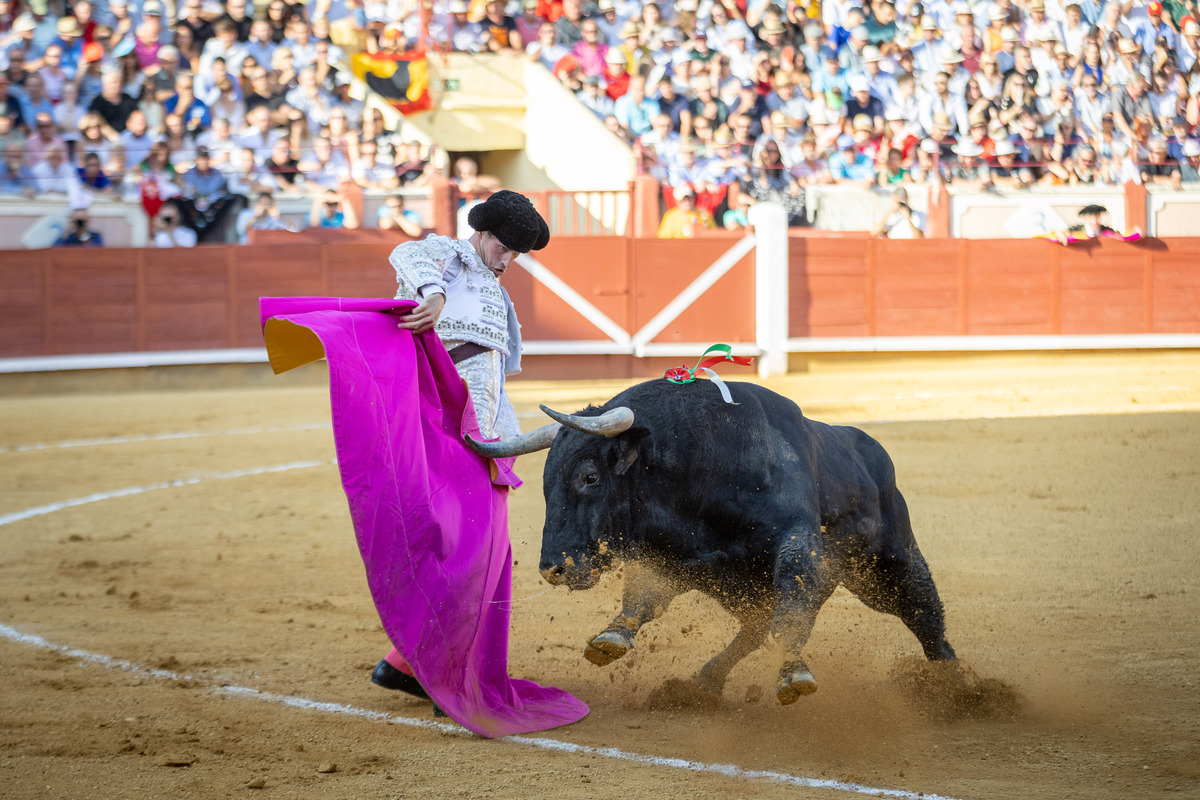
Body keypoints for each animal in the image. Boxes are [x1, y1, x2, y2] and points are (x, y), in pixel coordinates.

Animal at [468, 379, 955, 705]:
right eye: (546, 481)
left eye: (590, 477)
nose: (554, 568)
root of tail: (871, 451)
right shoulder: (670, 559)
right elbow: (642, 600)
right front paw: (610, 637)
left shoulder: (797, 543)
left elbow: (793, 607)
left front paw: (793, 674)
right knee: (754, 629)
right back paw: (704, 681)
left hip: (889, 564)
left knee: (924, 612)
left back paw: (955, 686)